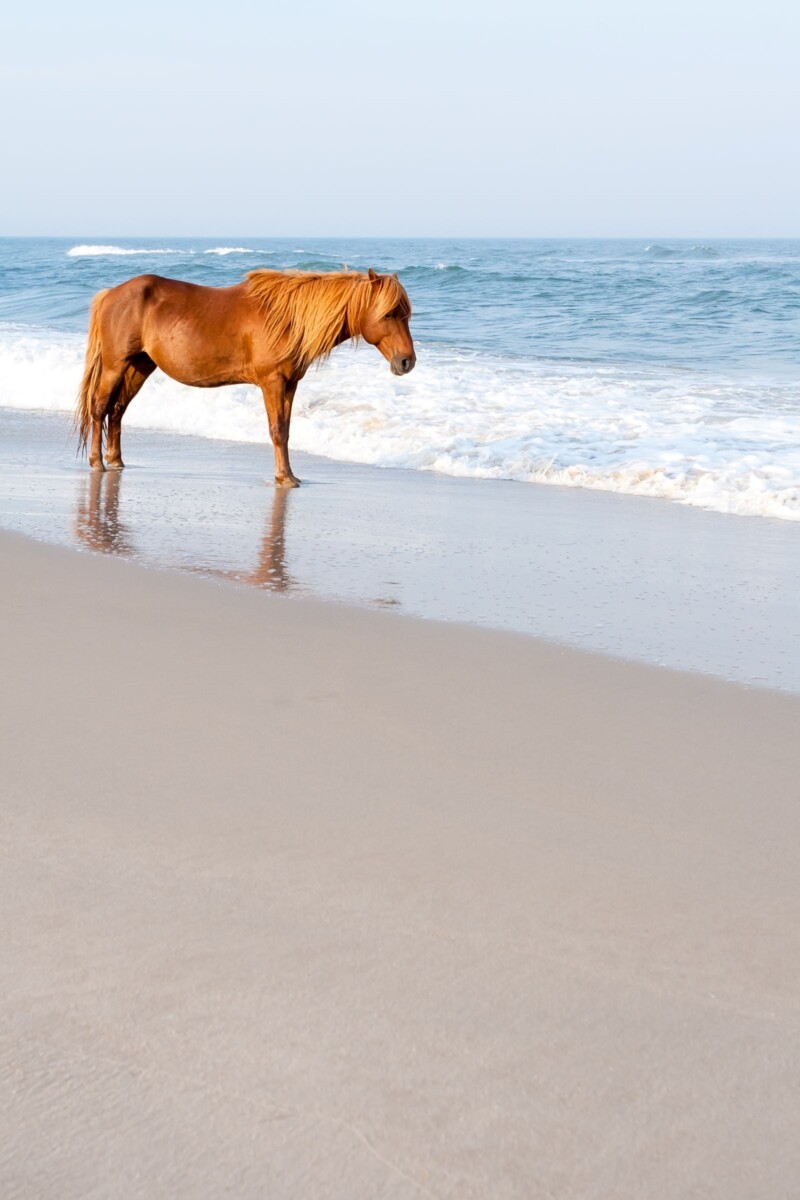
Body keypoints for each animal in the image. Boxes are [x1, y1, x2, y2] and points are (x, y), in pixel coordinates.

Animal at [75, 267, 415, 487]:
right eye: (389, 314)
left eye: (407, 314)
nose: (406, 361)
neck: (288, 319)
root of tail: (111, 294)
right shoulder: (272, 382)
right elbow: (276, 431)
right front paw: (284, 479)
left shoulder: (290, 384)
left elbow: (286, 431)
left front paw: (289, 475)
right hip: (115, 366)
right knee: (100, 408)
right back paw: (98, 463)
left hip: (140, 366)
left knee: (118, 410)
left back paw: (116, 460)